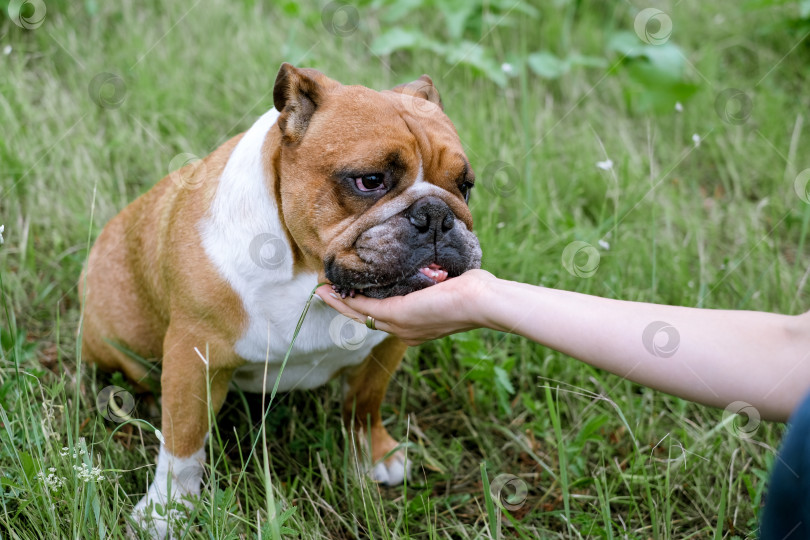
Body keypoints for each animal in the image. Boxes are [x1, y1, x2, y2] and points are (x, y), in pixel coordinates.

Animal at [80, 64, 480, 536]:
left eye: (465, 186)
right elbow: (184, 442)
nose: (436, 214)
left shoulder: (387, 347)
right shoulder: (194, 356)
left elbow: (365, 402)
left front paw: (373, 455)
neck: (305, 275)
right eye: (370, 181)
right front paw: (166, 511)